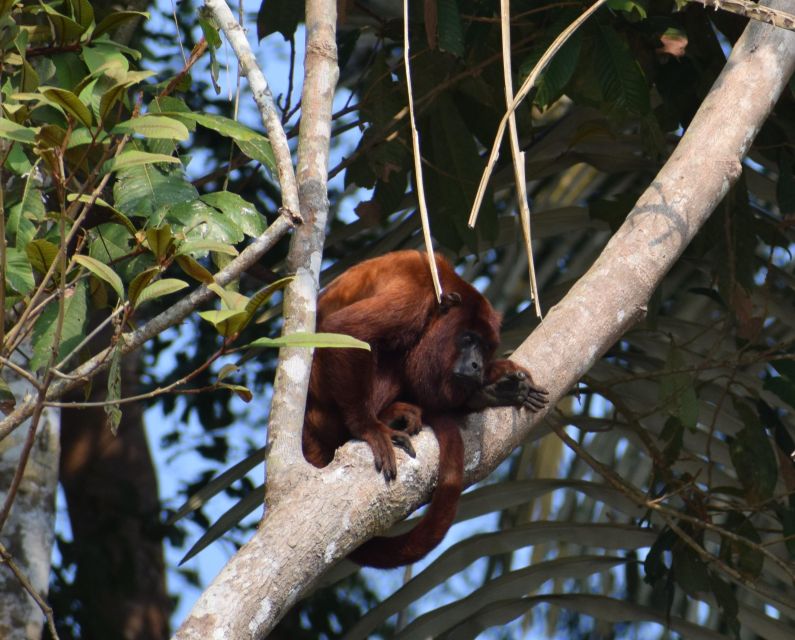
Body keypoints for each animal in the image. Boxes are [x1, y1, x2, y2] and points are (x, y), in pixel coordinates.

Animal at [302, 248, 552, 568]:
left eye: (485, 348)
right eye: (468, 339)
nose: (477, 365)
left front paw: (498, 380)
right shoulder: (413, 297)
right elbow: (346, 329)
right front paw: (368, 427)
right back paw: (388, 417)